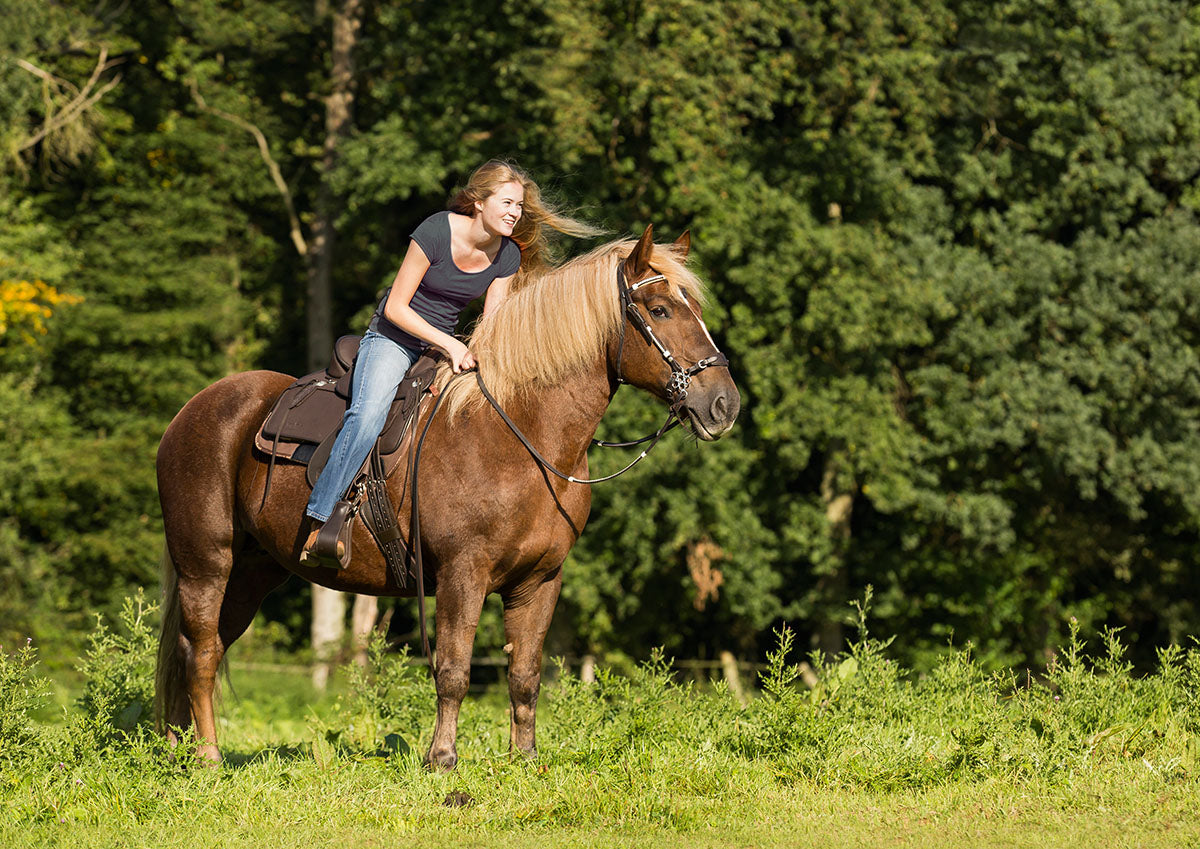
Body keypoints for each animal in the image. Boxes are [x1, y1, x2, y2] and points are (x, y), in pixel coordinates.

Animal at [152, 225, 739, 767]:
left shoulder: (540, 580)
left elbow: (525, 675)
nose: (723, 405)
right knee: (201, 652)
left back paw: (179, 749)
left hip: (254, 571)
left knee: (199, 649)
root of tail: (191, 411)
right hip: (207, 564)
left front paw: (524, 757)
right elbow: (454, 669)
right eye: (660, 309)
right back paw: (208, 757)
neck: (517, 433)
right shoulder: (464, 573)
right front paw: (441, 759)